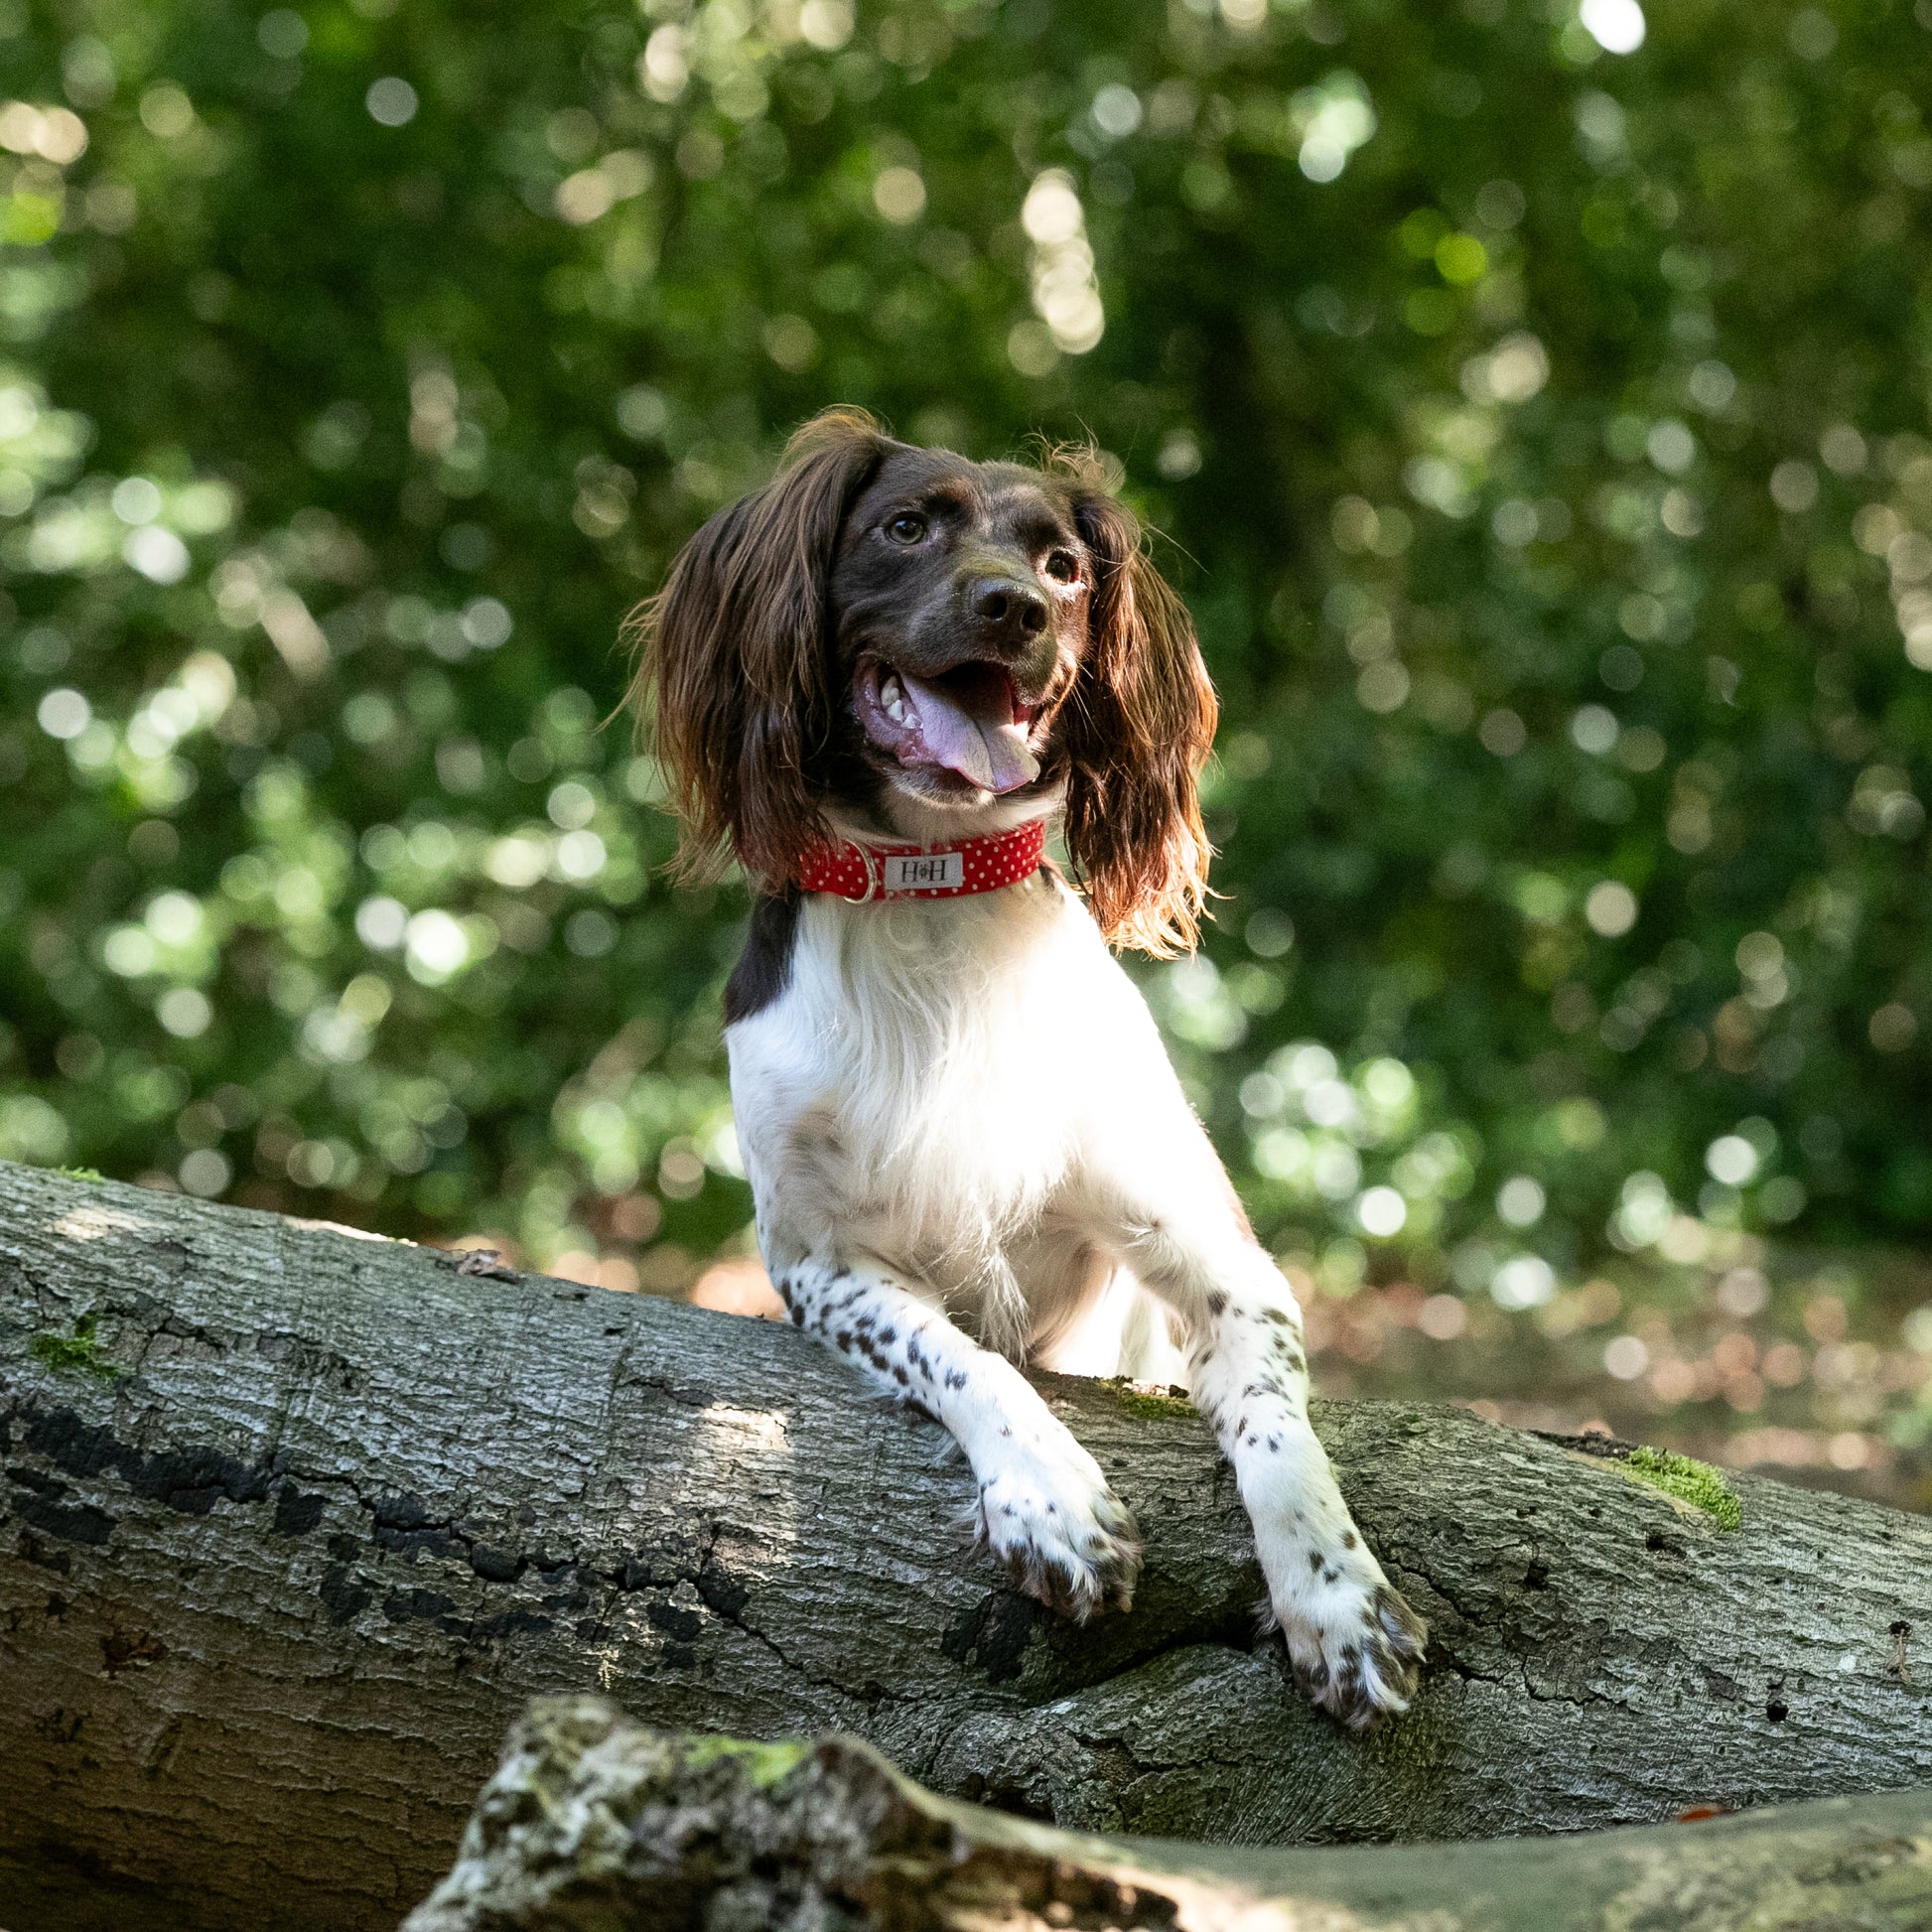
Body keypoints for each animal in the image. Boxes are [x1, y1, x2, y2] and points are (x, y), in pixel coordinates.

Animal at [625, 403, 1430, 1723]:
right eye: (905, 526)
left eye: (1064, 565)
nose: (1017, 608)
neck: (935, 900)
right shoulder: (818, 1263)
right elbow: (960, 1358)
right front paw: (1051, 1499)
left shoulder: (1215, 1255)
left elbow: (1279, 1431)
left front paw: (1337, 1597)